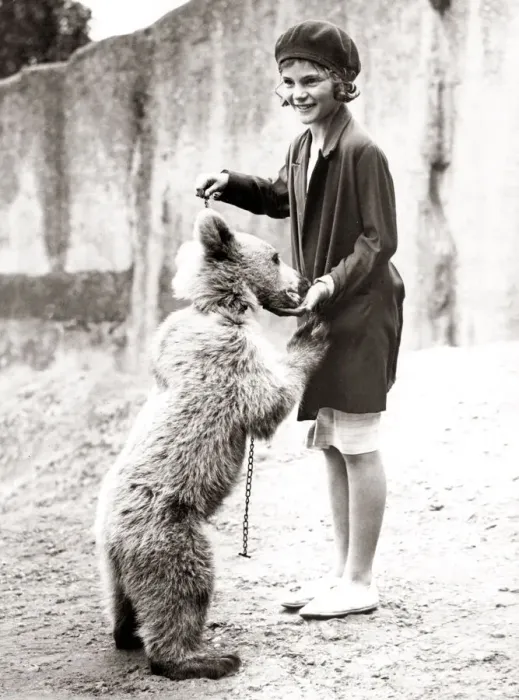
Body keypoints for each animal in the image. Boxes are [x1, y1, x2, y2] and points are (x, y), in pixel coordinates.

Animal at [94, 208, 329, 681]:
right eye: (275, 256)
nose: (303, 280)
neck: (223, 305)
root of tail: (110, 534)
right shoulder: (228, 359)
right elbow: (268, 399)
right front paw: (310, 336)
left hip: (114, 560)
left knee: (122, 598)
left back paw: (127, 633)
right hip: (169, 532)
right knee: (185, 587)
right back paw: (203, 657)